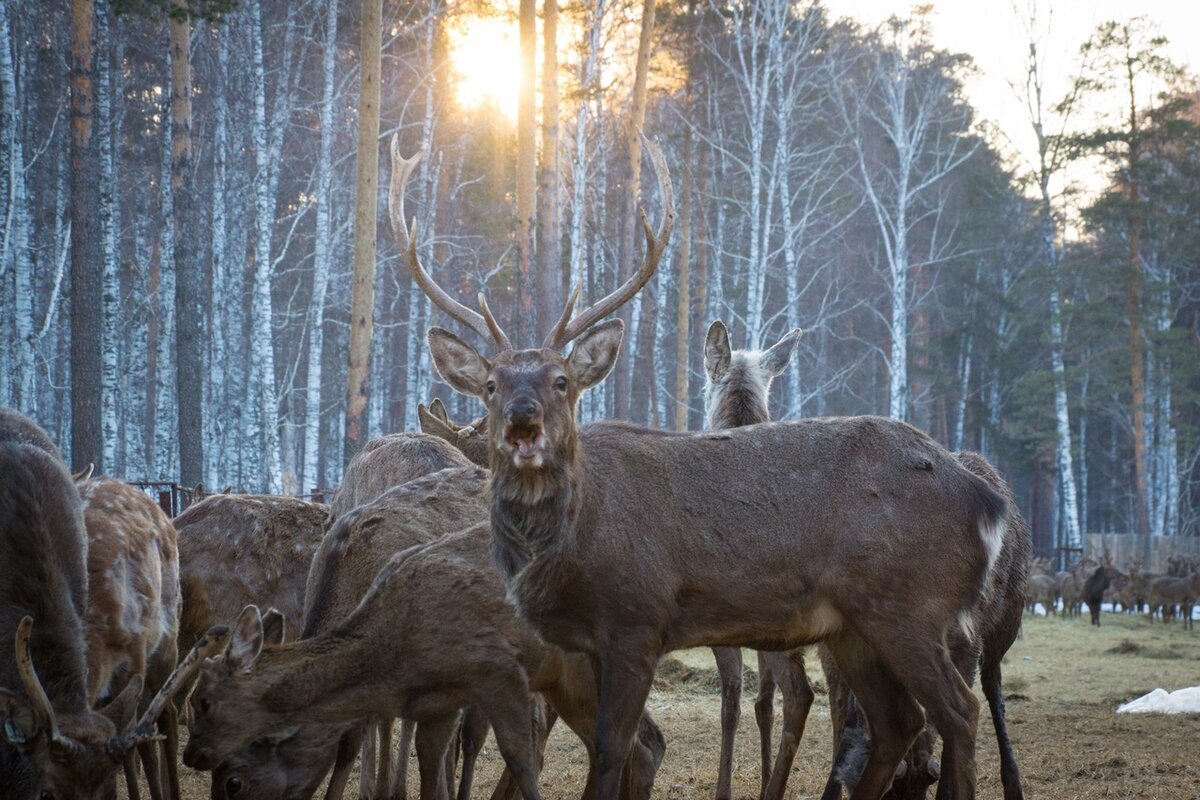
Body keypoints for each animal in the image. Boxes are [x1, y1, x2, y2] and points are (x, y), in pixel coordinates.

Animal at [398, 137, 1008, 800]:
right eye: (490, 384)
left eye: (561, 380)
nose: (521, 415)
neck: (572, 543)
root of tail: (988, 502)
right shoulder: (584, 643)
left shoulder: (638, 618)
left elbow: (612, 751)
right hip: (855, 629)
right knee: (898, 723)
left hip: (909, 607)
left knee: (958, 711)